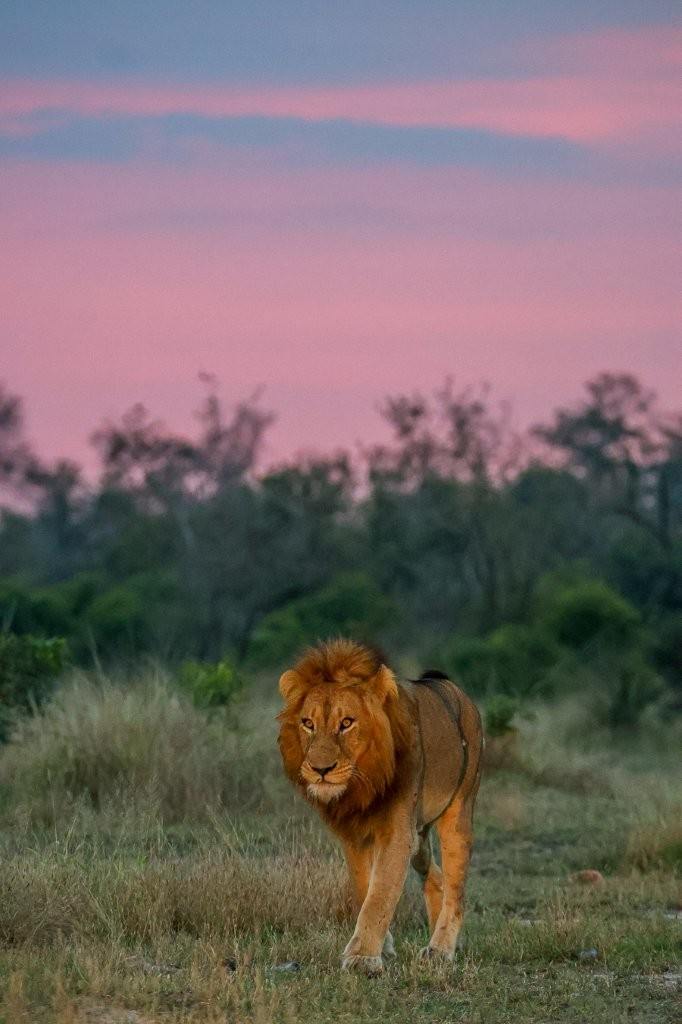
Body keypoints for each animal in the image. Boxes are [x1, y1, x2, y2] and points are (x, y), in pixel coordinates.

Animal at [277, 638, 483, 975]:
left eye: (346, 723)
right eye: (307, 723)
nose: (321, 769)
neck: (362, 785)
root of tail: (449, 685)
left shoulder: (397, 833)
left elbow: (380, 893)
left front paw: (362, 957)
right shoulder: (355, 836)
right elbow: (365, 888)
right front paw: (381, 947)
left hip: (459, 811)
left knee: (456, 888)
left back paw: (441, 948)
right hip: (419, 837)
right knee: (434, 874)